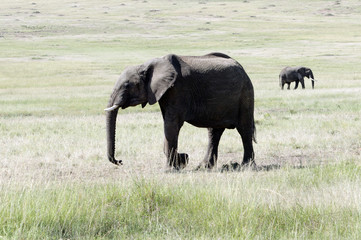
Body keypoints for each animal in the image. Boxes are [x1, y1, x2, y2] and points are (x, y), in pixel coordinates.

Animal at [104, 52, 256, 171]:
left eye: (127, 85)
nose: (120, 161)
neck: (147, 65)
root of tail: (242, 68)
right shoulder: (164, 93)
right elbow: (169, 125)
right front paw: (179, 162)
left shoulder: (178, 90)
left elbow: (171, 125)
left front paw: (170, 169)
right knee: (214, 132)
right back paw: (204, 167)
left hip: (245, 94)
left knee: (244, 129)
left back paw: (246, 166)